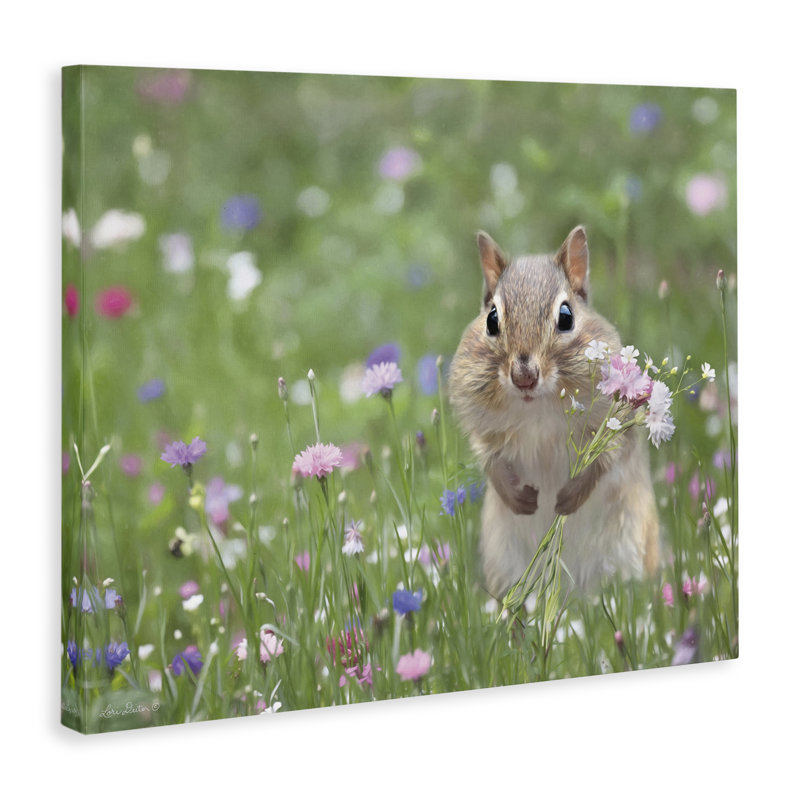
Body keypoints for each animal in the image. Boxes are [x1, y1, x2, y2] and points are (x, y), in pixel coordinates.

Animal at [448, 226, 659, 598]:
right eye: (491, 319)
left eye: (566, 317)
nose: (524, 377)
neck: (537, 409)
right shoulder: (483, 427)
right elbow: (489, 460)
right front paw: (520, 499)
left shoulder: (614, 426)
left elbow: (605, 461)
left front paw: (567, 500)